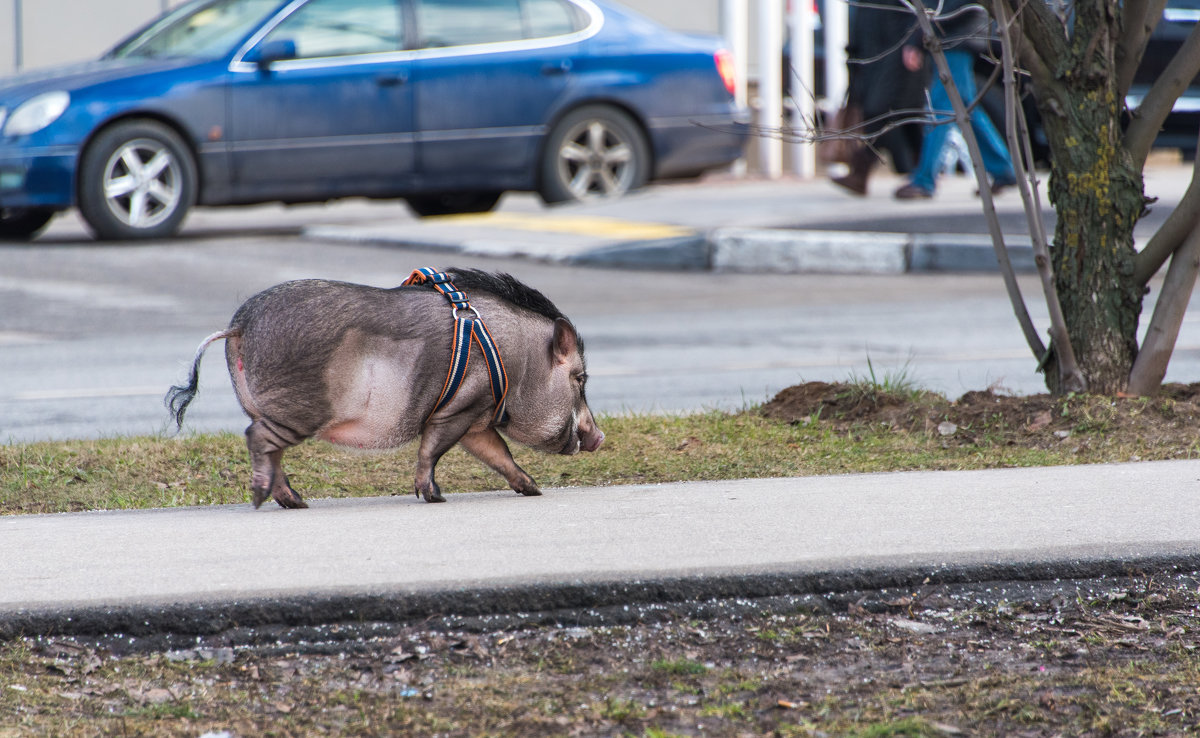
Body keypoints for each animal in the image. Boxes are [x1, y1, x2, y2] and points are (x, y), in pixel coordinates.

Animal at [164, 268, 604, 511]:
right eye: (580, 378)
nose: (599, 436)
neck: (518, 360)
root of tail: (240, 325)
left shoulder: (475, 420)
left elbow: (498, 455)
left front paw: (535, 490)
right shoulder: (461, 406)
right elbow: (432, 449)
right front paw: (434, 497)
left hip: (265, 407)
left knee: (270, 453)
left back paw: (296, 502)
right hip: (297, 410)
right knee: (257, 440)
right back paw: (265, 499)